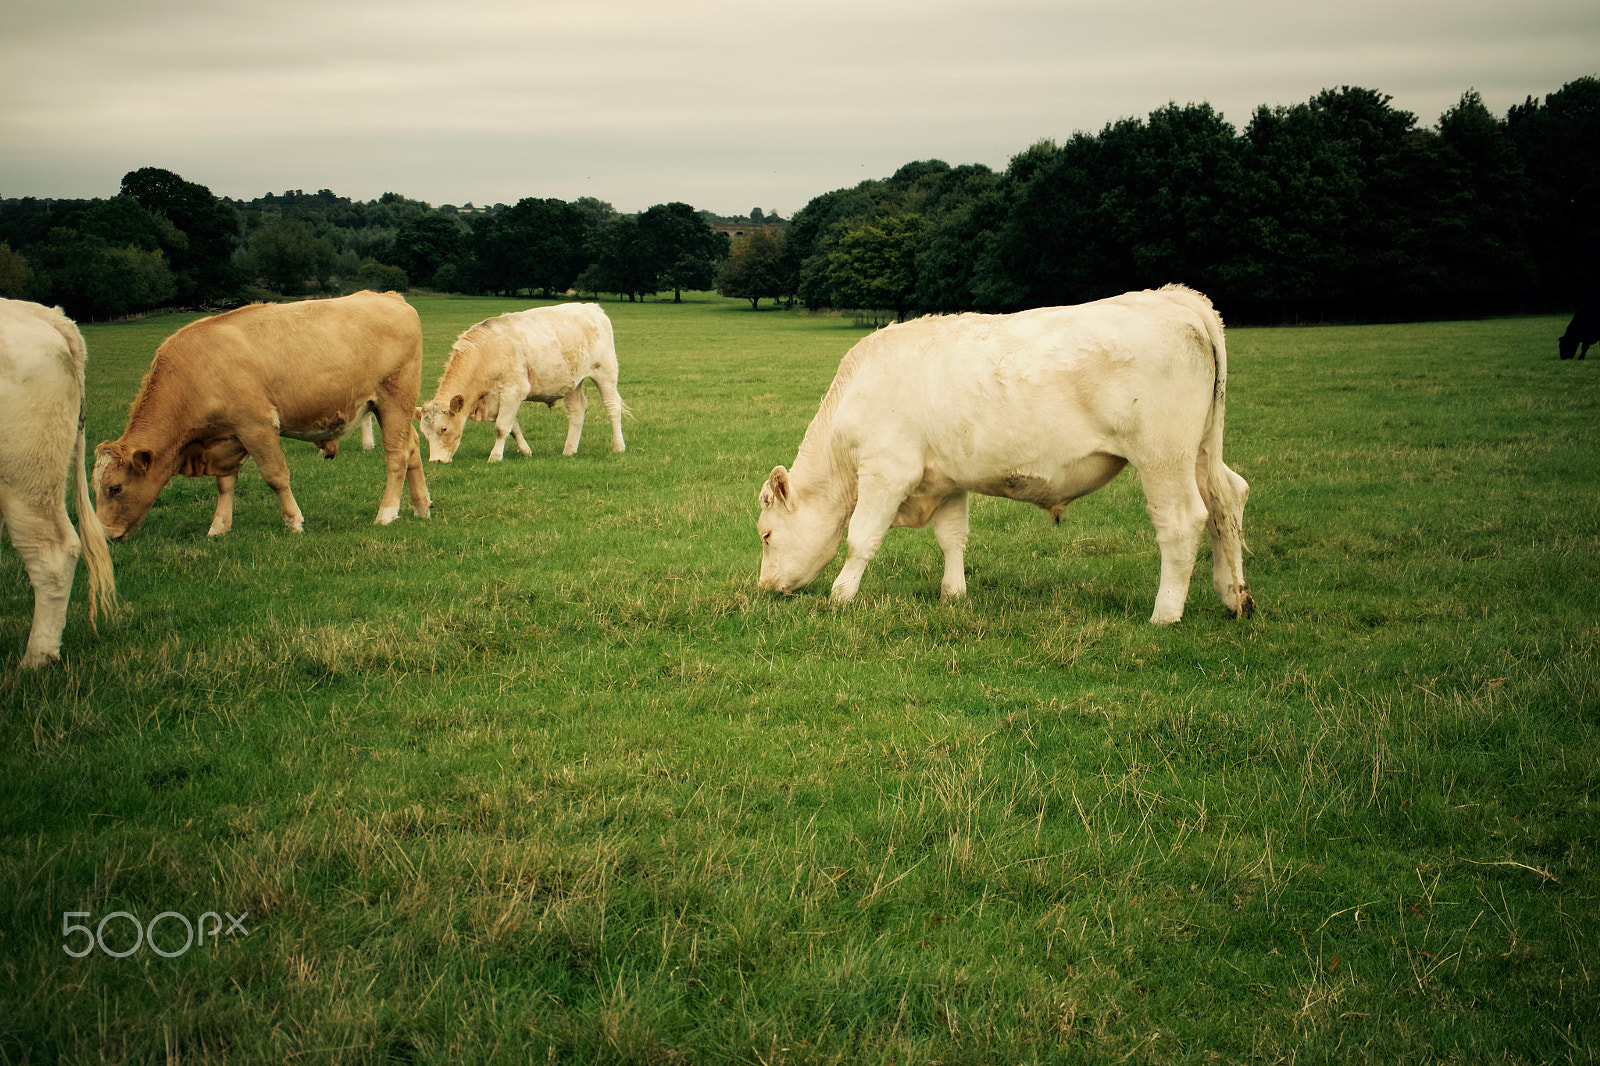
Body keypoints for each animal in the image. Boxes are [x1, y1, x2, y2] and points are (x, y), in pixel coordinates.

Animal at [92, 288, 432, 541]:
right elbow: (225, 484)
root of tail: (389, 297)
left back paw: (386, 514)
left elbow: (276, 476)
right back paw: (420, 506)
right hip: (393, 409)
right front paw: (218, 527)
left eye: (115, 488)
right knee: (412, 448)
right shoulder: (227, 436)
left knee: (396, 456)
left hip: (393, 400)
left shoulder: (257, 425)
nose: (106, 535)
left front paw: (294, 522)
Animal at [755, 281, 1254, 624]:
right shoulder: (947, 478)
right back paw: (1235, 598)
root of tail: (1174, 298)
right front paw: (953, 594)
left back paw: (1165, 613)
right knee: (1227, 502)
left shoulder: (886, 473)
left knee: (1183, 521)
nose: (765, 587)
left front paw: (841, 596)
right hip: (1201, 452)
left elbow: (861, 538)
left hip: (1162, 457)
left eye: (765, 534)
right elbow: (952, 537)